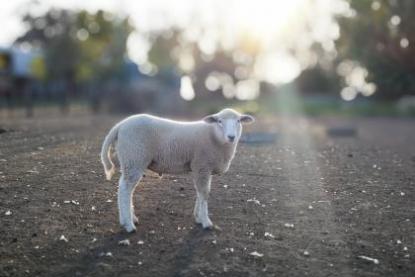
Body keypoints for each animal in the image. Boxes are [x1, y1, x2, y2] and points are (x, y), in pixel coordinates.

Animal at [101, 107, 254, 231]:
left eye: (239, 121)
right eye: (219, 121)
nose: (231, 137)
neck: (215, 137)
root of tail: (120, 125)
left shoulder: (203, 168)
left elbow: (200, 192)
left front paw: (198, 217)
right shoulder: (202, 165)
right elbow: (204, 193)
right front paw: (206, 222)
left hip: (131, 160)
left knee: (126, 189)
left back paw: (130, 219)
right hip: (134, 157)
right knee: (125, 190)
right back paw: (128, 224)